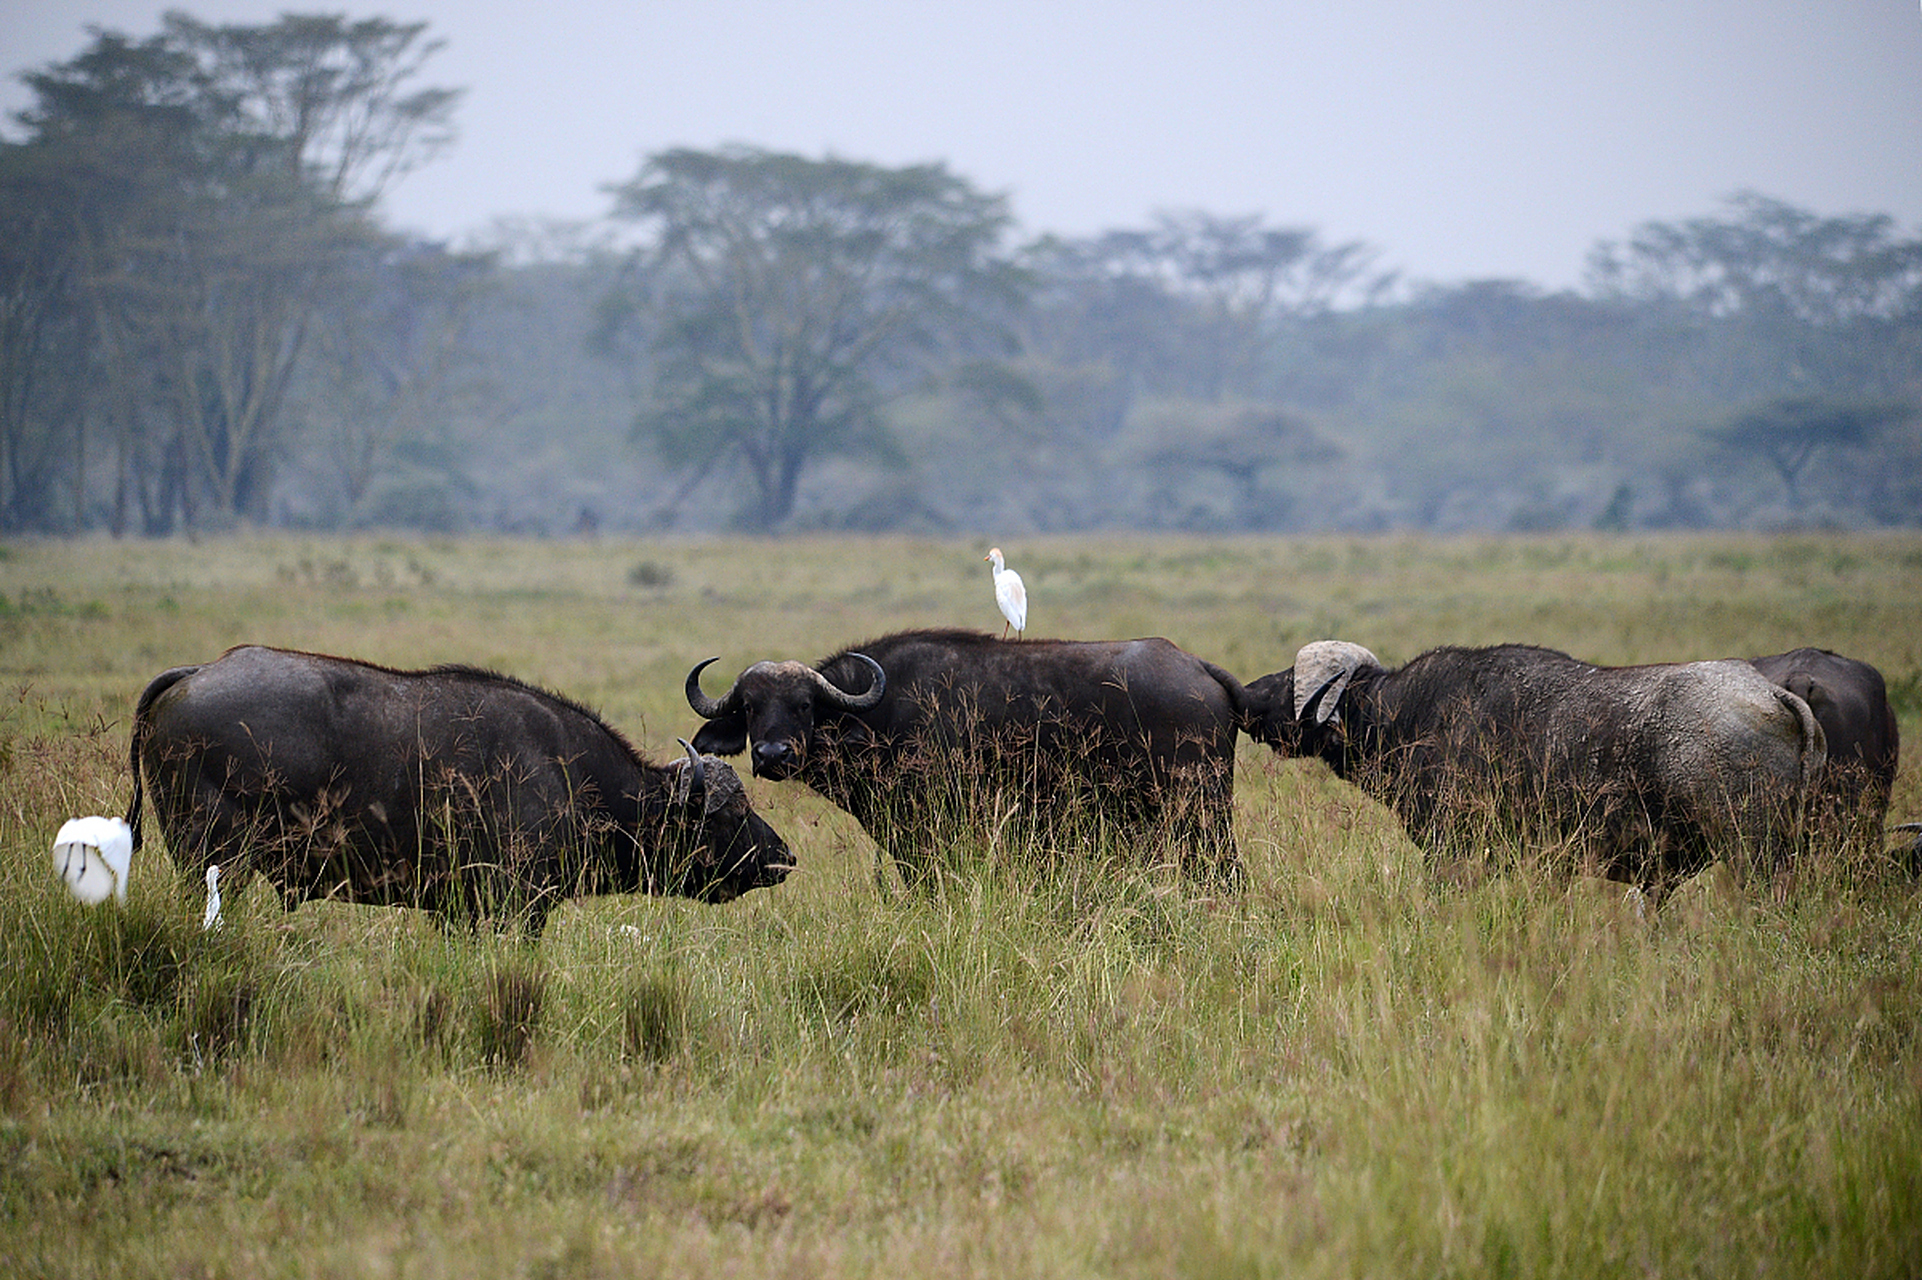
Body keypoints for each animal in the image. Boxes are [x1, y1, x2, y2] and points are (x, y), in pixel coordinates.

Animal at [128, 646, 792, 931]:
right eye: (728, 814)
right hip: (217, 863)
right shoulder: (513, 907)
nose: (783, 856)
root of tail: (198, 672)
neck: (571, 775)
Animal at [684, 629, 1247, 884]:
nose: (772, 754)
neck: (882, 711)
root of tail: (1197, 667)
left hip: (1202, 816)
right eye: (751, 707)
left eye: (804, 705)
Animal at [1243, 641, 1827, 889]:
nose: (1247, 693)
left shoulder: (1455, 851)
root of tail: (1772, 694)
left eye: (1287, 680)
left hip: (1751, 850)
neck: (1411, 716)